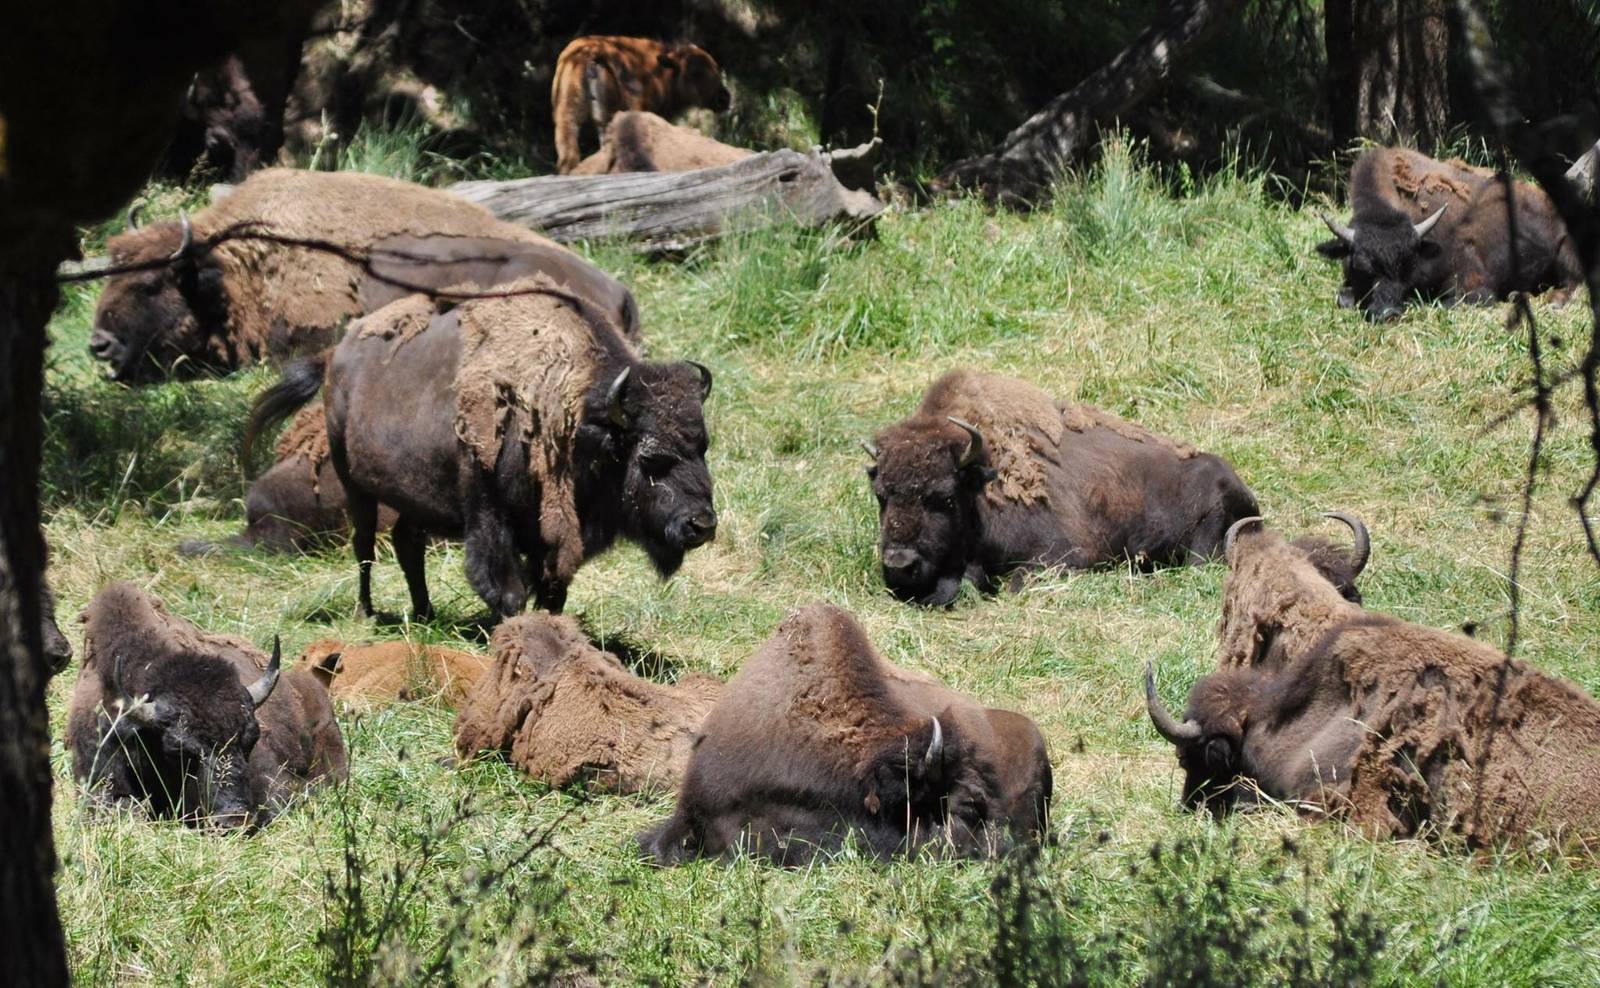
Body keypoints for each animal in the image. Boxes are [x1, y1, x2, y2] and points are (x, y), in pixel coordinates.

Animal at [246, 276, 715, 620]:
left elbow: (553, 591)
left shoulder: (552, 535)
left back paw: (425, 613)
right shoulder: (490, 514)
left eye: (703, 447)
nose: (702, 525)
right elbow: (506, 589)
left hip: (414, 497)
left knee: (407, 545)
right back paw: (368, 613)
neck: (578, 419)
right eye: (651, 459)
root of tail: (334, 356)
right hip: (355, 484)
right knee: (364, 549)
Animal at [1315, 147, 1582, 322]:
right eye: (1361, 266)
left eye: (1410, 263)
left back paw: (1552, 301)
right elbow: (1343, 297)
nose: (1387, 314)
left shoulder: (1474, 286)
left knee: (1572, 283)